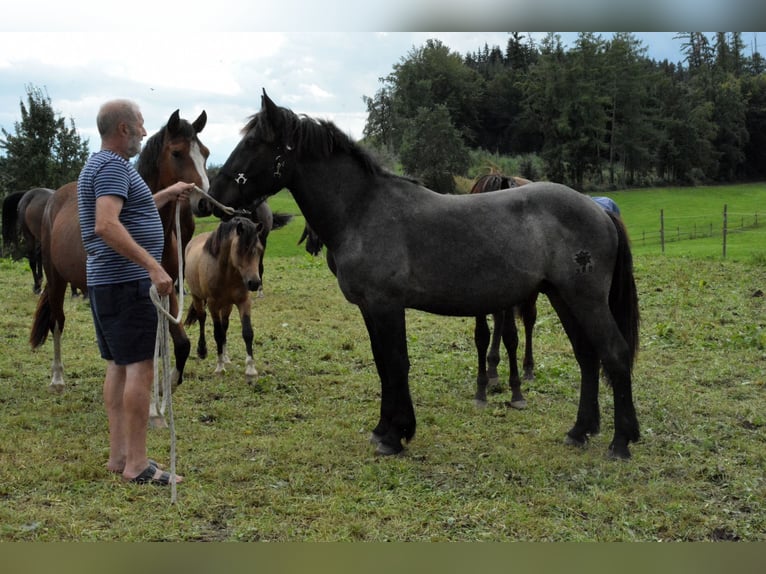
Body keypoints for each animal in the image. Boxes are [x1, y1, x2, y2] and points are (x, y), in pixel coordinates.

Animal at [30, 110, 210, 394]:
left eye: (205, 153)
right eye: (177, 153)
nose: (203, 202)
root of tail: (54, 199)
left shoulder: (166, 286)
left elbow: (180, 343)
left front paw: (167, 384)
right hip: (56, 277)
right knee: (57, 321)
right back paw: (57, 378)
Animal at [184, 216, 266, 382]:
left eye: (260, 249)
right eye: (241, 249)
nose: (254, 283)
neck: (227, 273)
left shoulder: (243, 302)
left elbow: (247, 332)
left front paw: (250, 369)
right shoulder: (213, 304)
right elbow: (217, 334)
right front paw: (219, 367)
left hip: (227, 305)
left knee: (225, 325)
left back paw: (226, 357)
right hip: (198, 298)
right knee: (202, 318)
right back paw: (202, 350)